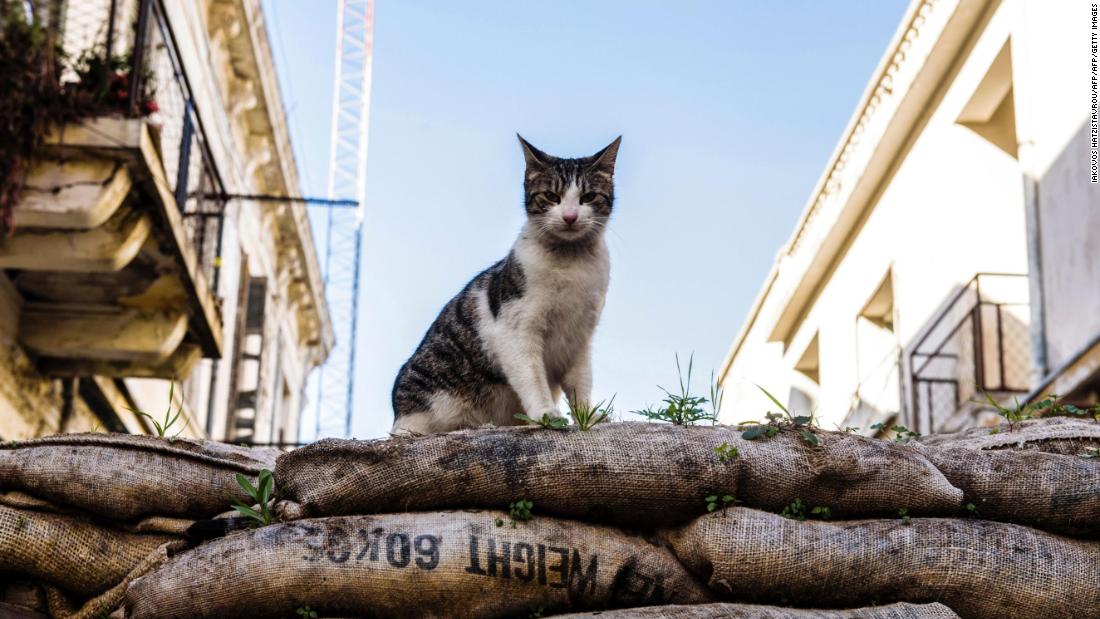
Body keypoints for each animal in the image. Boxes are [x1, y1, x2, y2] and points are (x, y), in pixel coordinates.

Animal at [393, 135, 620, 435]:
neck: (572, 263)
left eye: (588, 197)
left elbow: (580, 383)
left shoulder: (580, 338)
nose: (570, 216)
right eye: (551, 196)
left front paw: (588, 417)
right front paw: (546, 414)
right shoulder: (515, 331)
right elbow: (532, 378)